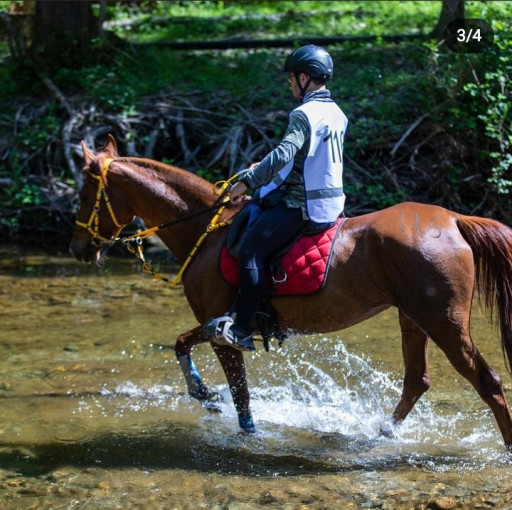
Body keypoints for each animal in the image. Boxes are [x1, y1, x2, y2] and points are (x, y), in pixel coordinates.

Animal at [70, 135, 512, 450]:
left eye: (84, 193)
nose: (79, 249)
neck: (206, 233)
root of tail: (453, 219)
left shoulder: (226, 332)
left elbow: (242, 397)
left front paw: (246, 432)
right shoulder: (216, 322)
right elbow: (181, 343)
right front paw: (204, 394)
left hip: (443, 321)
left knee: (487, 381)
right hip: (413, 318)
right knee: (416, 381)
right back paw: (381, 433)